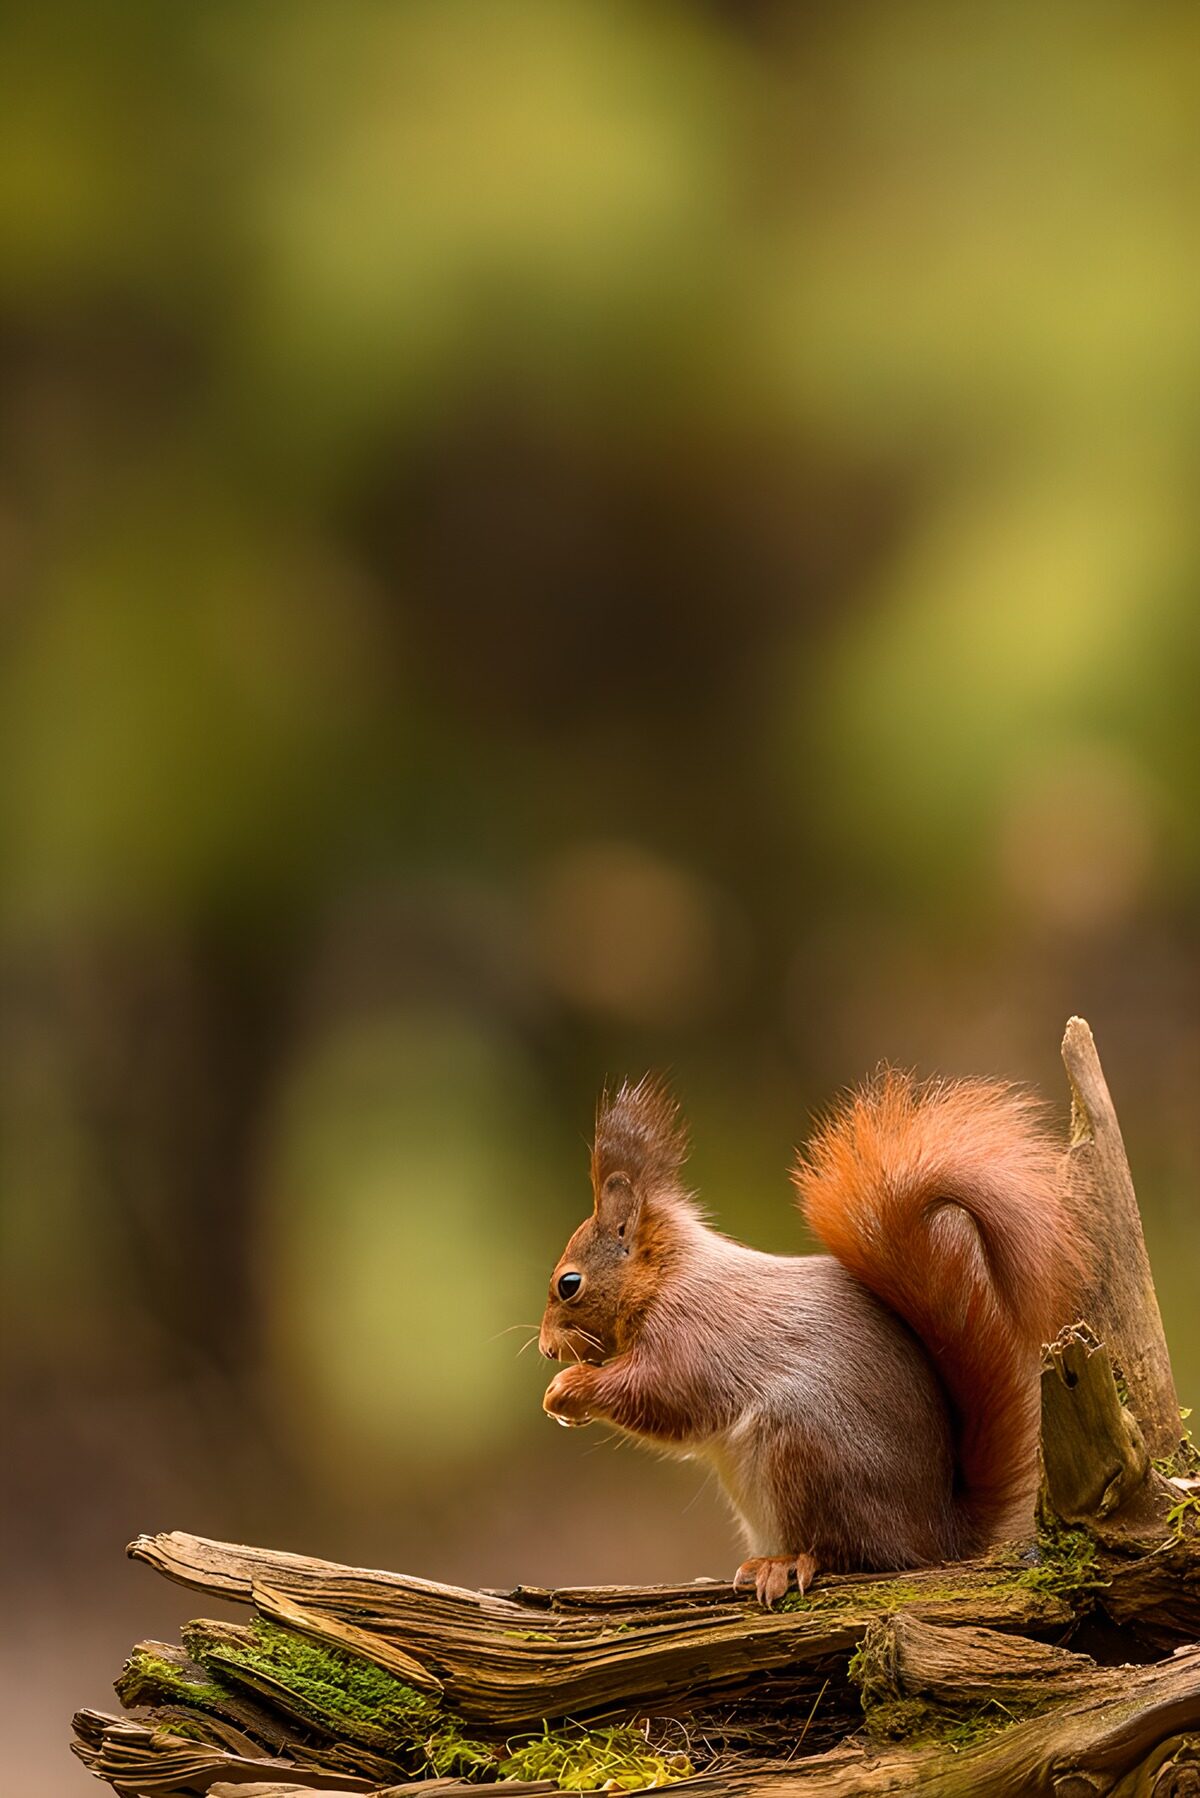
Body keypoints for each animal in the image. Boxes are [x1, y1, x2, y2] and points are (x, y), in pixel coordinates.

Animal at [539, 1070, 1078, 1605]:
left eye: (569, 1284)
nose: (546, 1348)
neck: (665, 1277)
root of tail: (935, 1534)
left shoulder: (693, 1334)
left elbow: (661, 1393)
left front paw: (568, 1390)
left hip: (805, 1455)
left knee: (848, 1553)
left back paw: (787, 1562)